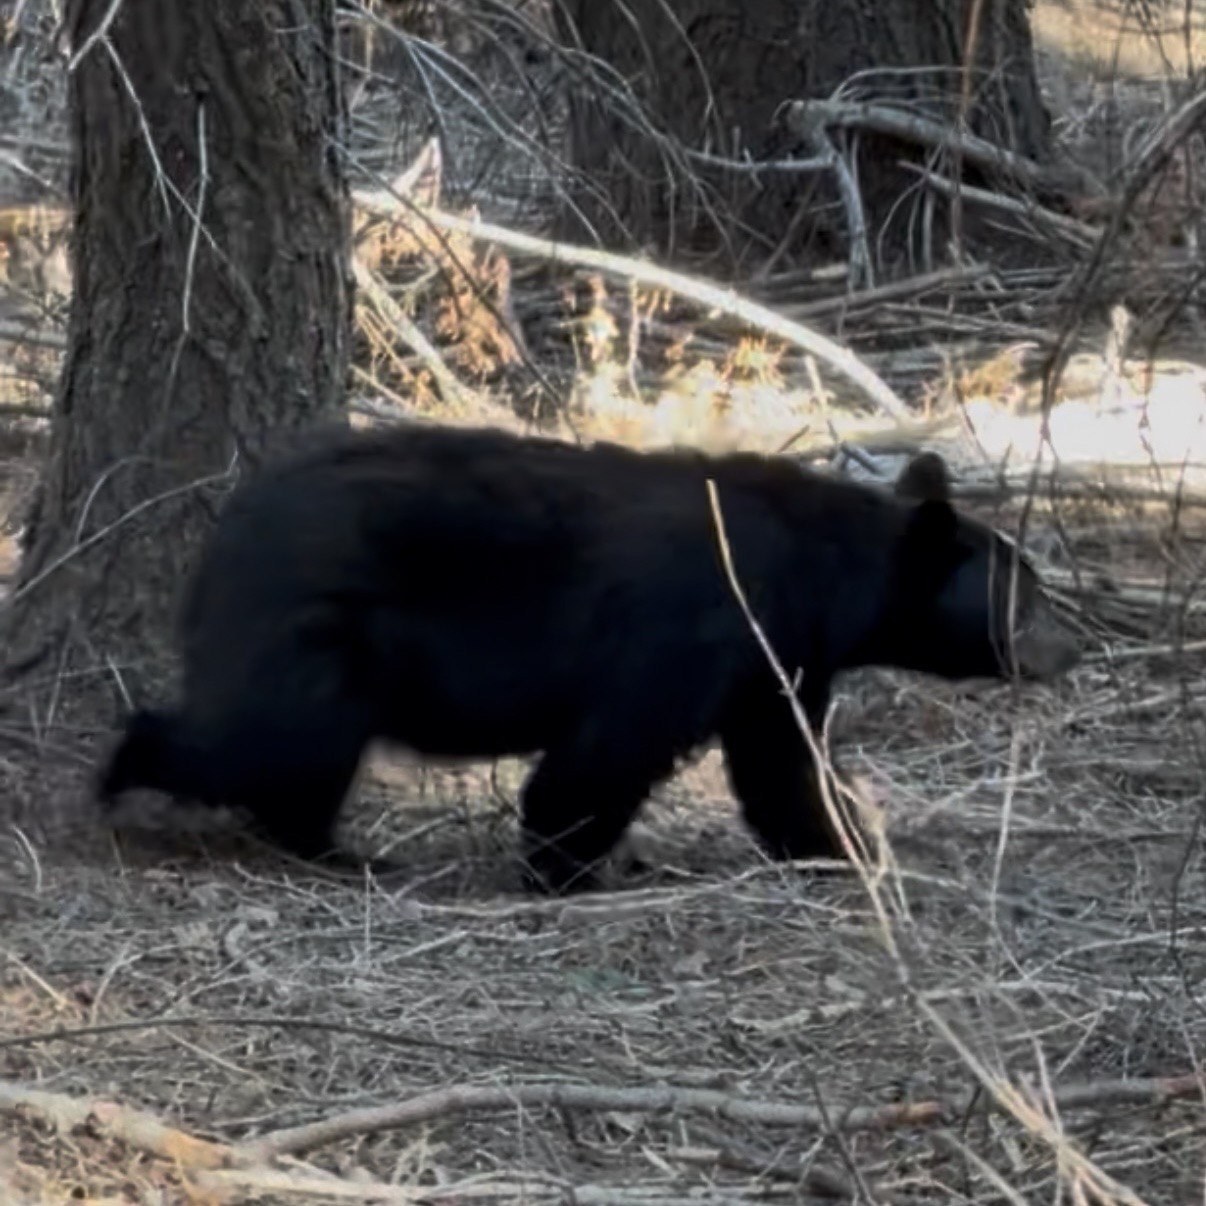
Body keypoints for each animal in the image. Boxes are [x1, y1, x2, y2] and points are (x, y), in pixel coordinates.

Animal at [96, 423, 1080, 893]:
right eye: (1026, 595)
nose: (1070, 648)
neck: (819, 574)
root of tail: (225, 530)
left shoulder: (778, 659)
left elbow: (779, 764)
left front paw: (838, 846)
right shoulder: (704, 623)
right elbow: (614, 746)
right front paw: (564, 869)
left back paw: (334, 849)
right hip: (318, 626)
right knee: (266, 737)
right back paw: (128, 781)